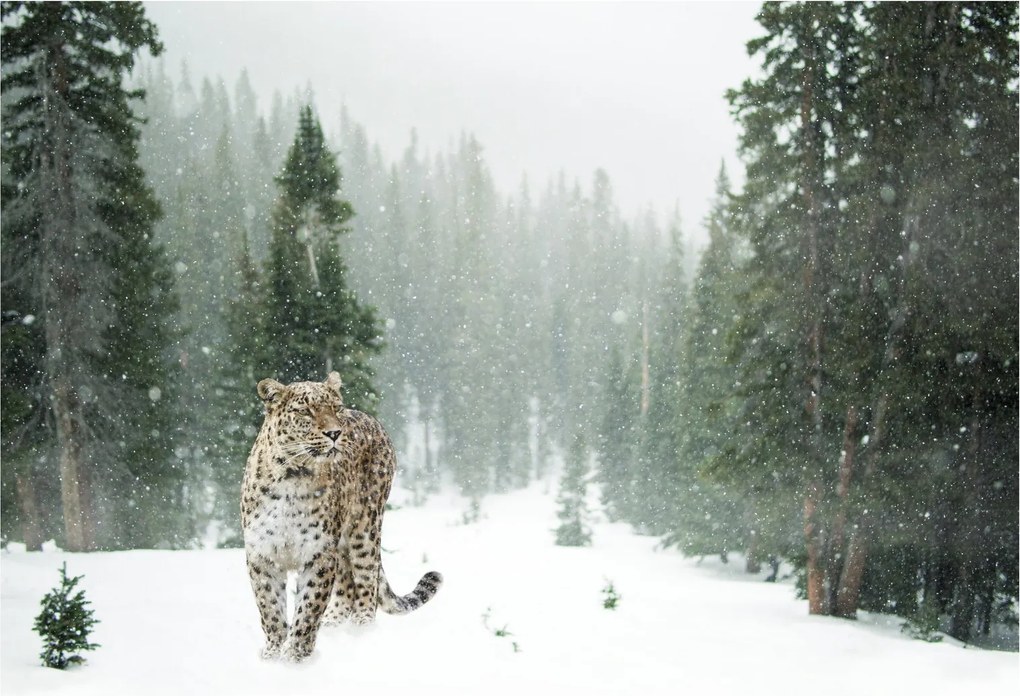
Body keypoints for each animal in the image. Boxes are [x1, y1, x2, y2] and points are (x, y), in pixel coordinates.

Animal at [240, 371, 442, 662]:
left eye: (335, 408)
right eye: (305, 411)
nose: (335, 433)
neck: (293, 477)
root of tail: (372, 419)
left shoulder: (319, 553)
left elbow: (309, 608)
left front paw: (296, 656)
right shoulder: (262, 554)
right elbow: (270, 609)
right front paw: (273, 654)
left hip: (365, 528)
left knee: (367, 581)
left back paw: (361, 631)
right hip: (344, 542)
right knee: (347, 584)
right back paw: (334, 625)